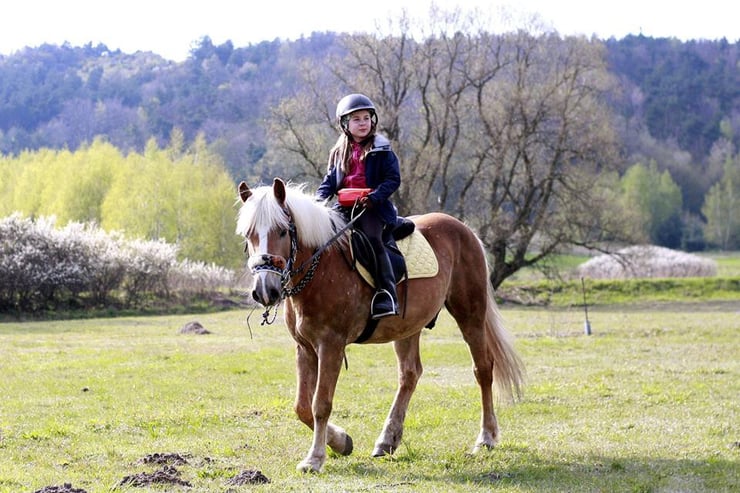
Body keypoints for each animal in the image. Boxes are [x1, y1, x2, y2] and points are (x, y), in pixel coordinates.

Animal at [234, 178, 524, 472]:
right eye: (248, 235)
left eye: (282, 231)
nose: (265, 290)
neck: (321, 269)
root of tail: (465, 230)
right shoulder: (305, 347)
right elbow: (302, 406)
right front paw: (341, 442)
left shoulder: (331, 345)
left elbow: (320, 404)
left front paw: (314, 458)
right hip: (408, 327)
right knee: (409, 374)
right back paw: (387, 440)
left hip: (470, 314)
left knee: (483, 369)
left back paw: (486, 437)